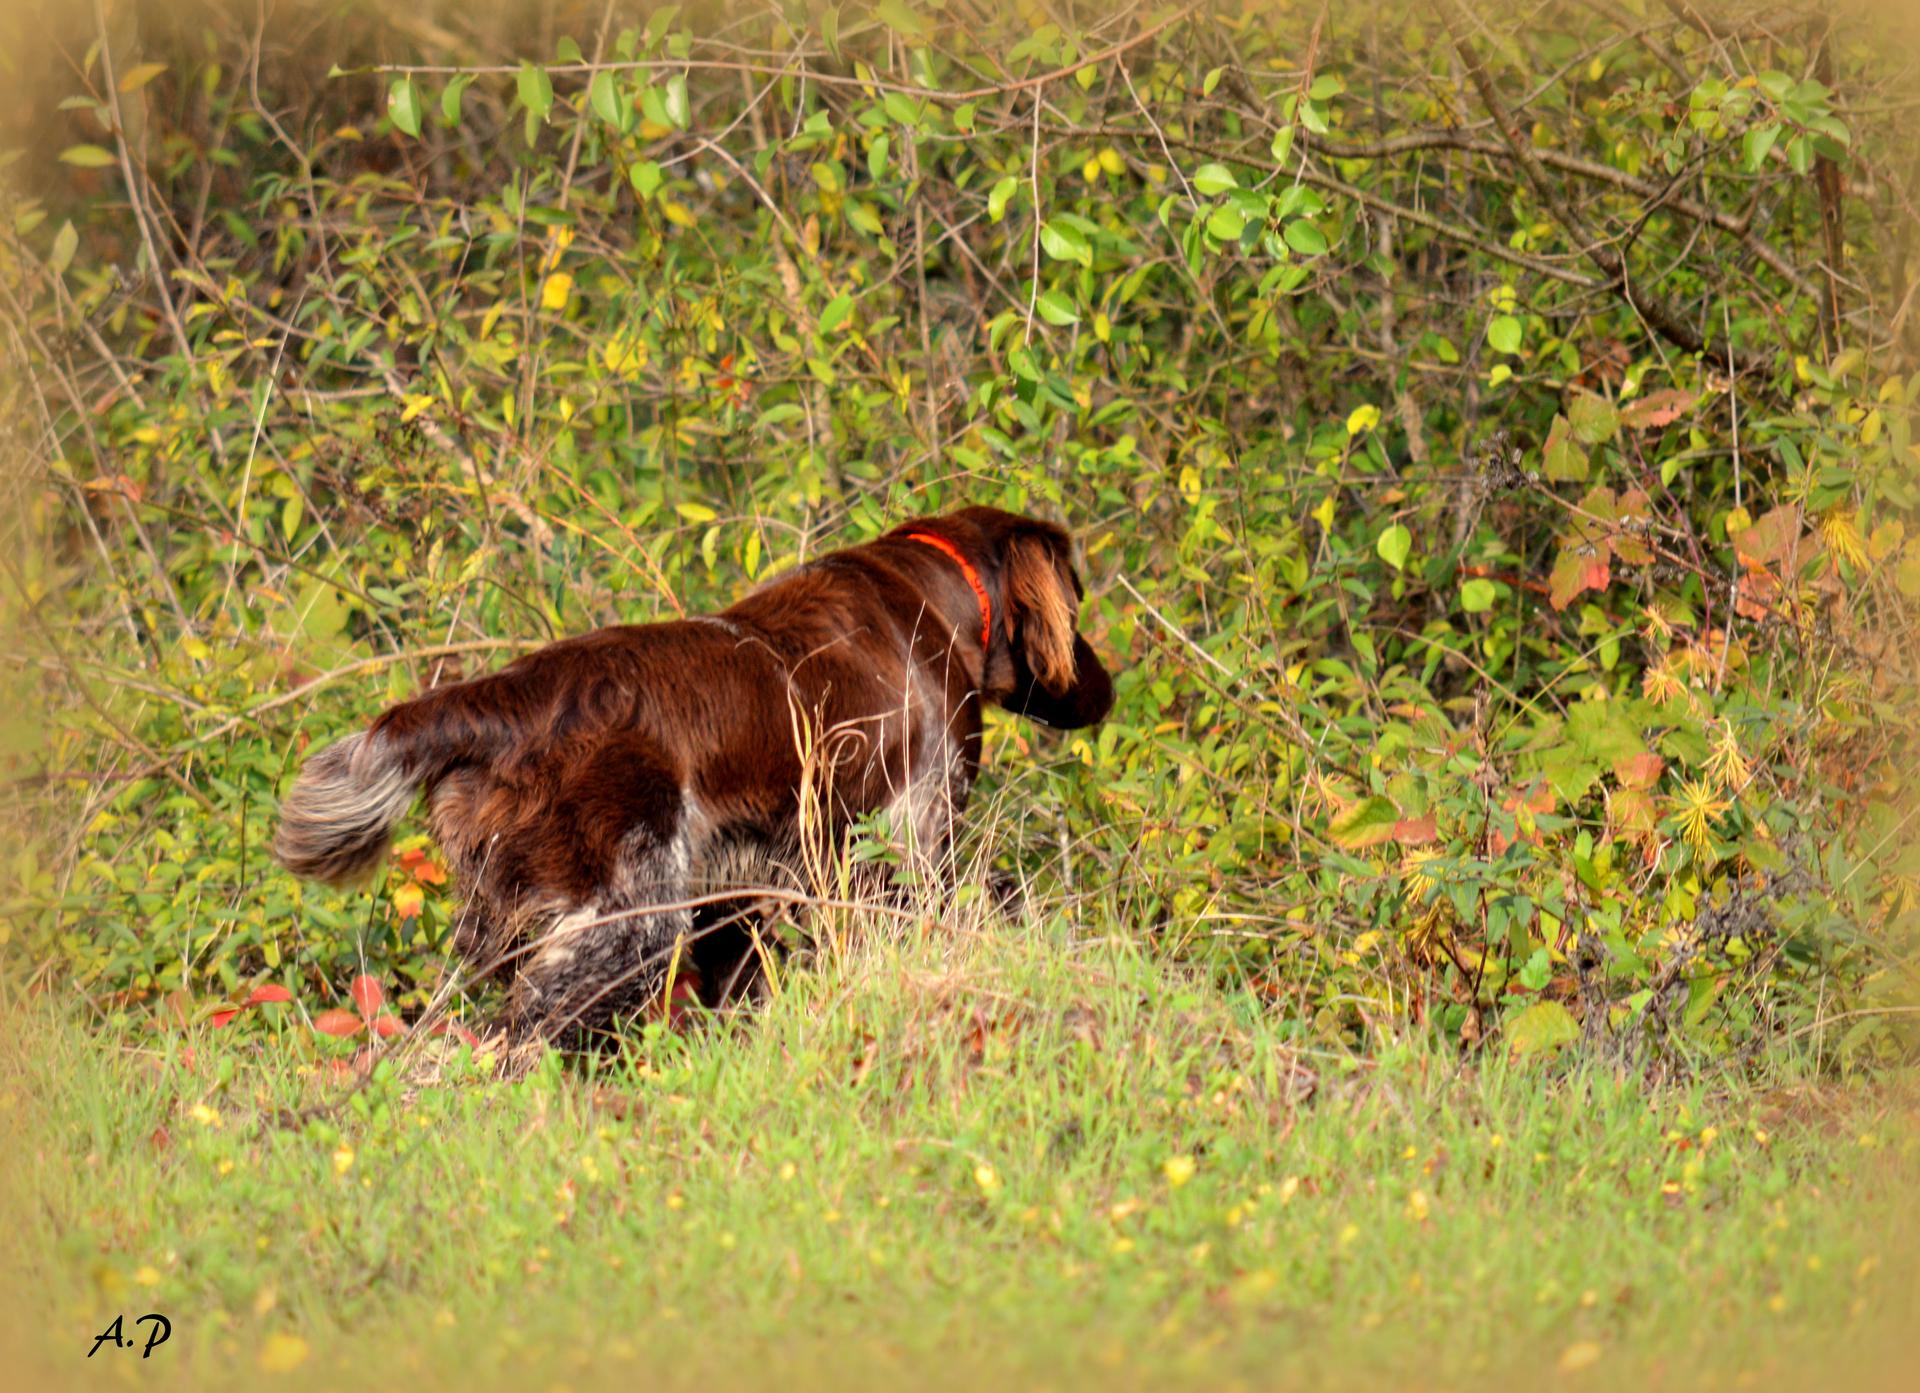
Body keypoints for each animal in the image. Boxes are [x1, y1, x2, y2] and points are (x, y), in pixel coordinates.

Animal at [270, 510, 1113, 1043]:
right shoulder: (908, 839)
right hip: (625, 924)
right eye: (1078, 603)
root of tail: (508, 698)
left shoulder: (743, 896)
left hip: (514, 916)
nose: (1108, 688)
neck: (934, 594)